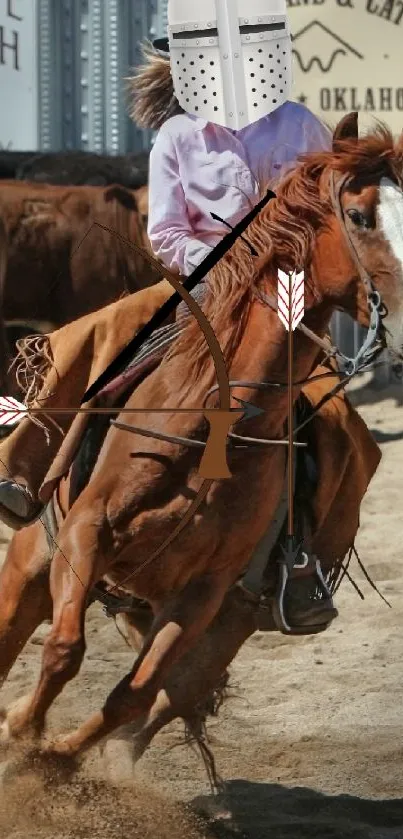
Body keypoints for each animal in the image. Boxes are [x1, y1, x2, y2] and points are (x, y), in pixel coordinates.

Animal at [0, 111, 403, 768]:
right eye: (361, 216)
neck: (213, 428)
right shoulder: (85, 533)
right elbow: (64, 649)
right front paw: (22, 733)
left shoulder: (205, 594)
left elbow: (133, 695)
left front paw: (49, 760)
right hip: (31, 564)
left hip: (225, 625)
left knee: (165, 702)